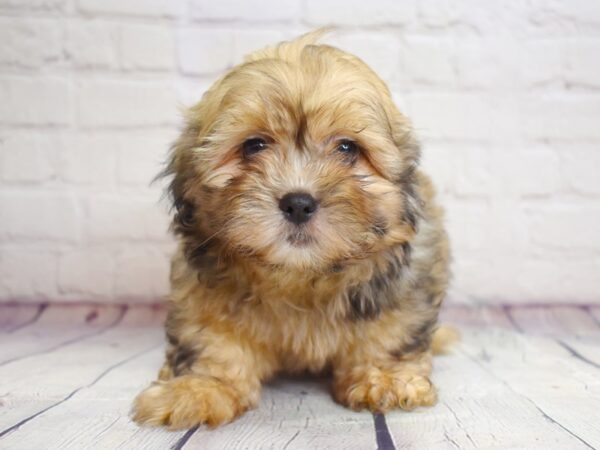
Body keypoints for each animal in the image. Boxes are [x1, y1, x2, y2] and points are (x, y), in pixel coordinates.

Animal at [131, 29, 450, 430]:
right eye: (254, 145)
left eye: (348, 148)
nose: (298, 202)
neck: (300, 275)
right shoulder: (203, 293)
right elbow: (210, 341)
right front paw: (200, 387)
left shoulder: (400, 285)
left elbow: (390, 331)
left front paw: (386, 378)